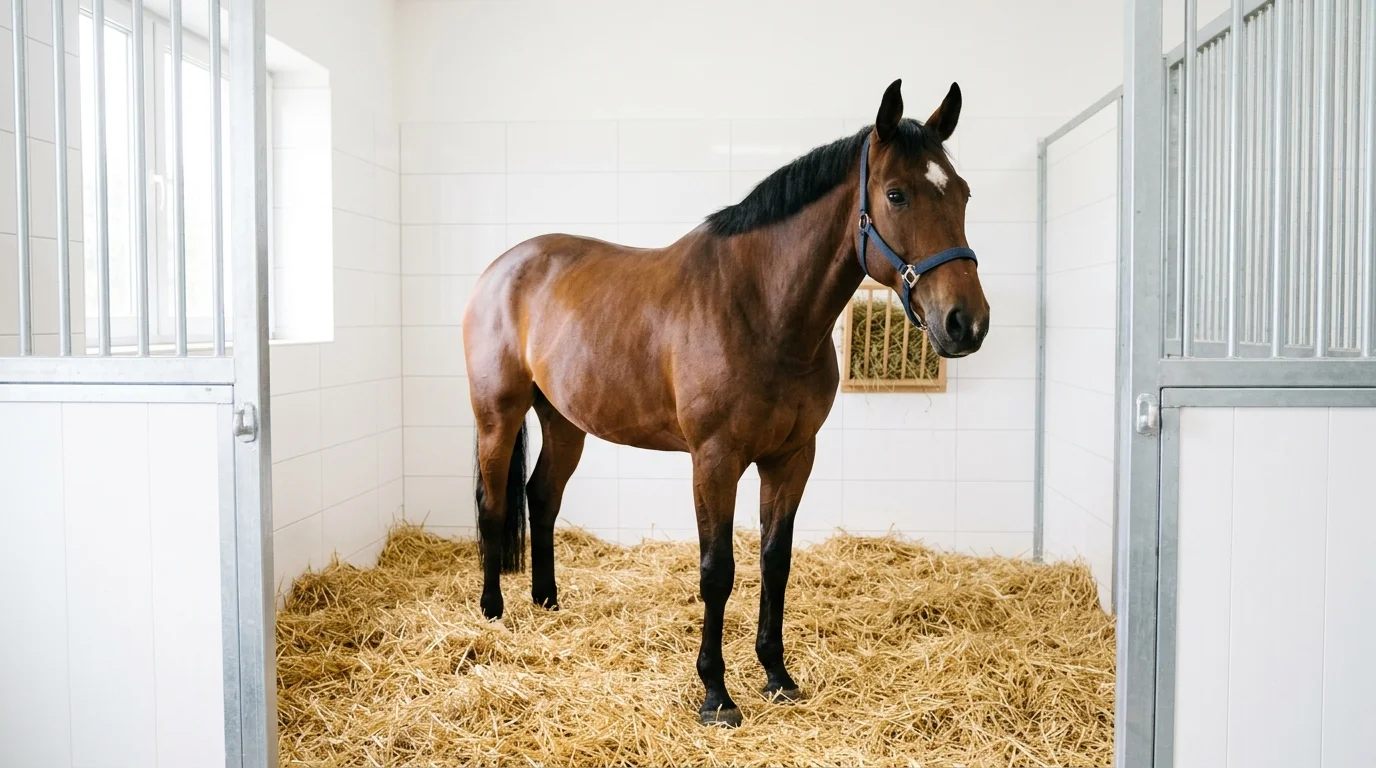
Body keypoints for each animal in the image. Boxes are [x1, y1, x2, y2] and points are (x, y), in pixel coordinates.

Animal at [462, 79, 990, 727]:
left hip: (564, 422)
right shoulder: (714, 460)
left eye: (962, 193)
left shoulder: (792, 458)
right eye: (896, 194)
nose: (966, 322)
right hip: (498, 415)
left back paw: (547, 601)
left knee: (541, 497)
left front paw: (777, 675)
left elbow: (775, 561)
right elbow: (718, 572)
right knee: (492, 504)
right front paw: (715, 693)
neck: (761, 307)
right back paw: (492, 611)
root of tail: (501, 269)